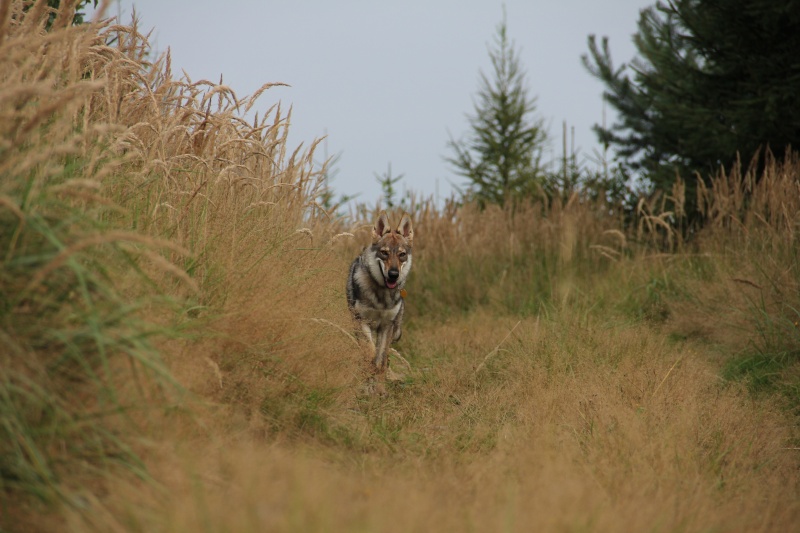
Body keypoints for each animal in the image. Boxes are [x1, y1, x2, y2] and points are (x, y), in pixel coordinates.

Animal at [346, 208, 416, 386]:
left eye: (402, 255)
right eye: (384, 253)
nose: (393, 274)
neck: (381, 296)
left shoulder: (386, 326)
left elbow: (382, 358)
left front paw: (380, 380)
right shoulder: (362, 322)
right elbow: (369, 352)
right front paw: (370, 376)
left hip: (396, 331)